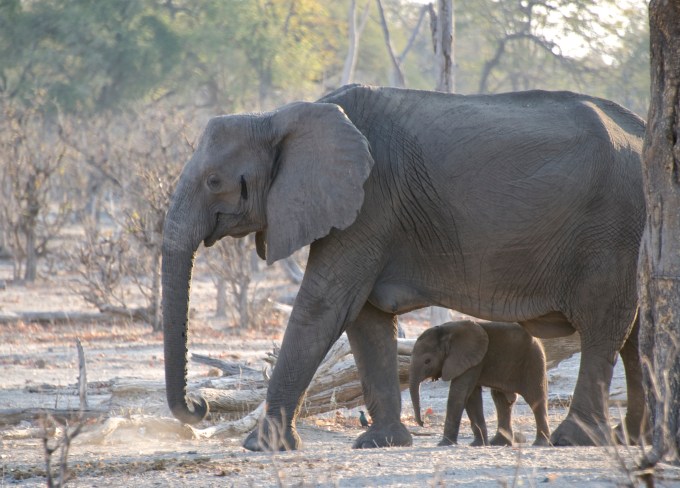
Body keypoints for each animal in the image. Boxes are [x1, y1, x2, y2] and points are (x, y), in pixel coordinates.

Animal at [409, 320, 550, 447]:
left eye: (427, 361)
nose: (423, 423)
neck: (446, 332)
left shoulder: (469, 359)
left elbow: (458, 395)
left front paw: (444, 444)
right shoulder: (471, 360)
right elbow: (472, 397)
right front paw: (477, 444)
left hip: (534, 360)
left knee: (535, 399)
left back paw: (540, 444)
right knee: (502, 400)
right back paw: (498, 443)